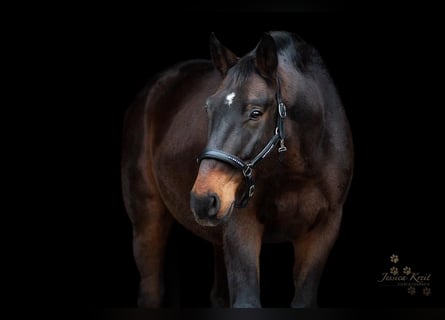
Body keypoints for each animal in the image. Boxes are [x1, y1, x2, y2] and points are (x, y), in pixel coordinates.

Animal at [119, 30, 352, 308]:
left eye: (256, 112)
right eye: (208, 109)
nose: (203, 199)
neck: (296, 172)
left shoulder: (323, 230)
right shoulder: (241, 226)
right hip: (148, 221)